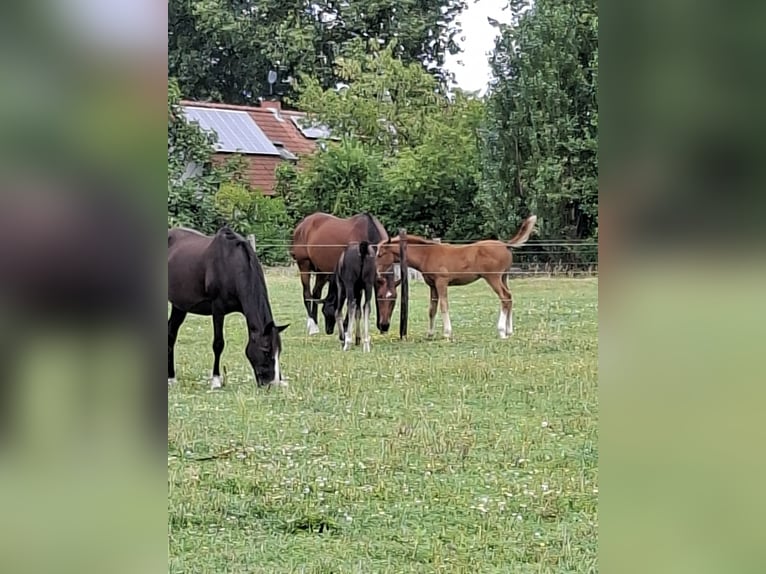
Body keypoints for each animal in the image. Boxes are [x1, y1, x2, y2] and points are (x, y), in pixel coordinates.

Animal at [168, 226, 289, 389]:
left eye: (279, 351)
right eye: (265, 350)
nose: (272, 384)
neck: (231, 265)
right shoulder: (218, 309)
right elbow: (218, 344)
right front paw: (216, 381)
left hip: (179, 306)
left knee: (171, 334)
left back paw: (171, 378)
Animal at [376, 215, 538, 340]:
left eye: (380, 254)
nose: (377, 272)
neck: (428, 254)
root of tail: (504, 245)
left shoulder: (441, 282)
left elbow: (443, 305)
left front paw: (447, 333)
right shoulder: (432, 285)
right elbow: (432, 309)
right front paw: (430, 334)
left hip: (493, 278)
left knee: (504, 297)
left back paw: (502, 331)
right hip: (504, 277)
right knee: (509, 297)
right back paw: (509, 331)